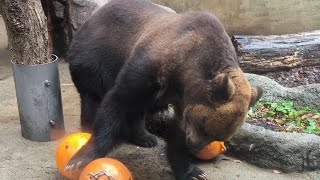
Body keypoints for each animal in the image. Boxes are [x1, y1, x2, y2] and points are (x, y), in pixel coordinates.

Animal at [65, 0, 262, 179]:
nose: (194, 146)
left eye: (217, 136)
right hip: (94, 59)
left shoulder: (183, 98)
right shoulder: (150, 66)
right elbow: (118, 100)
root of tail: (93, 16)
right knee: (92, 97)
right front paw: (80, 159)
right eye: (204, 126)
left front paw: (191, 170)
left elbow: (177, 129)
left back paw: (145, 137)